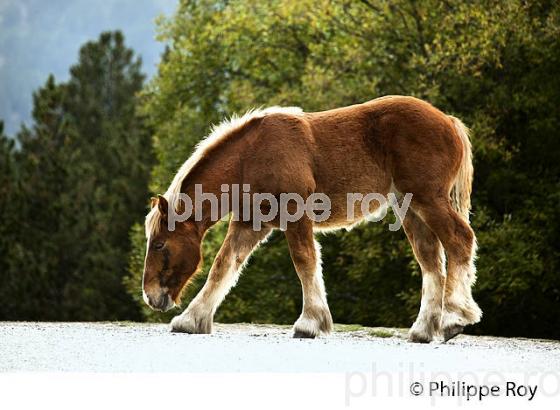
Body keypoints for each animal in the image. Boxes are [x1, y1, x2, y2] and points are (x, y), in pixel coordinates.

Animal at [141, 96, 482, 342]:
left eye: (159, 244)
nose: (150, 296)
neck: (251, 156)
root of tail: (449, 121)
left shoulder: (295, 214)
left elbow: (304, 261)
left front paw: (309, 322)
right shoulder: (250, 224)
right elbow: (223, 266)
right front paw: (191, 319)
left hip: (429, 201)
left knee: (459, 241)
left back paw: (454, 318)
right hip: (411, 210)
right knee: (431, 263)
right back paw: (424, 330)